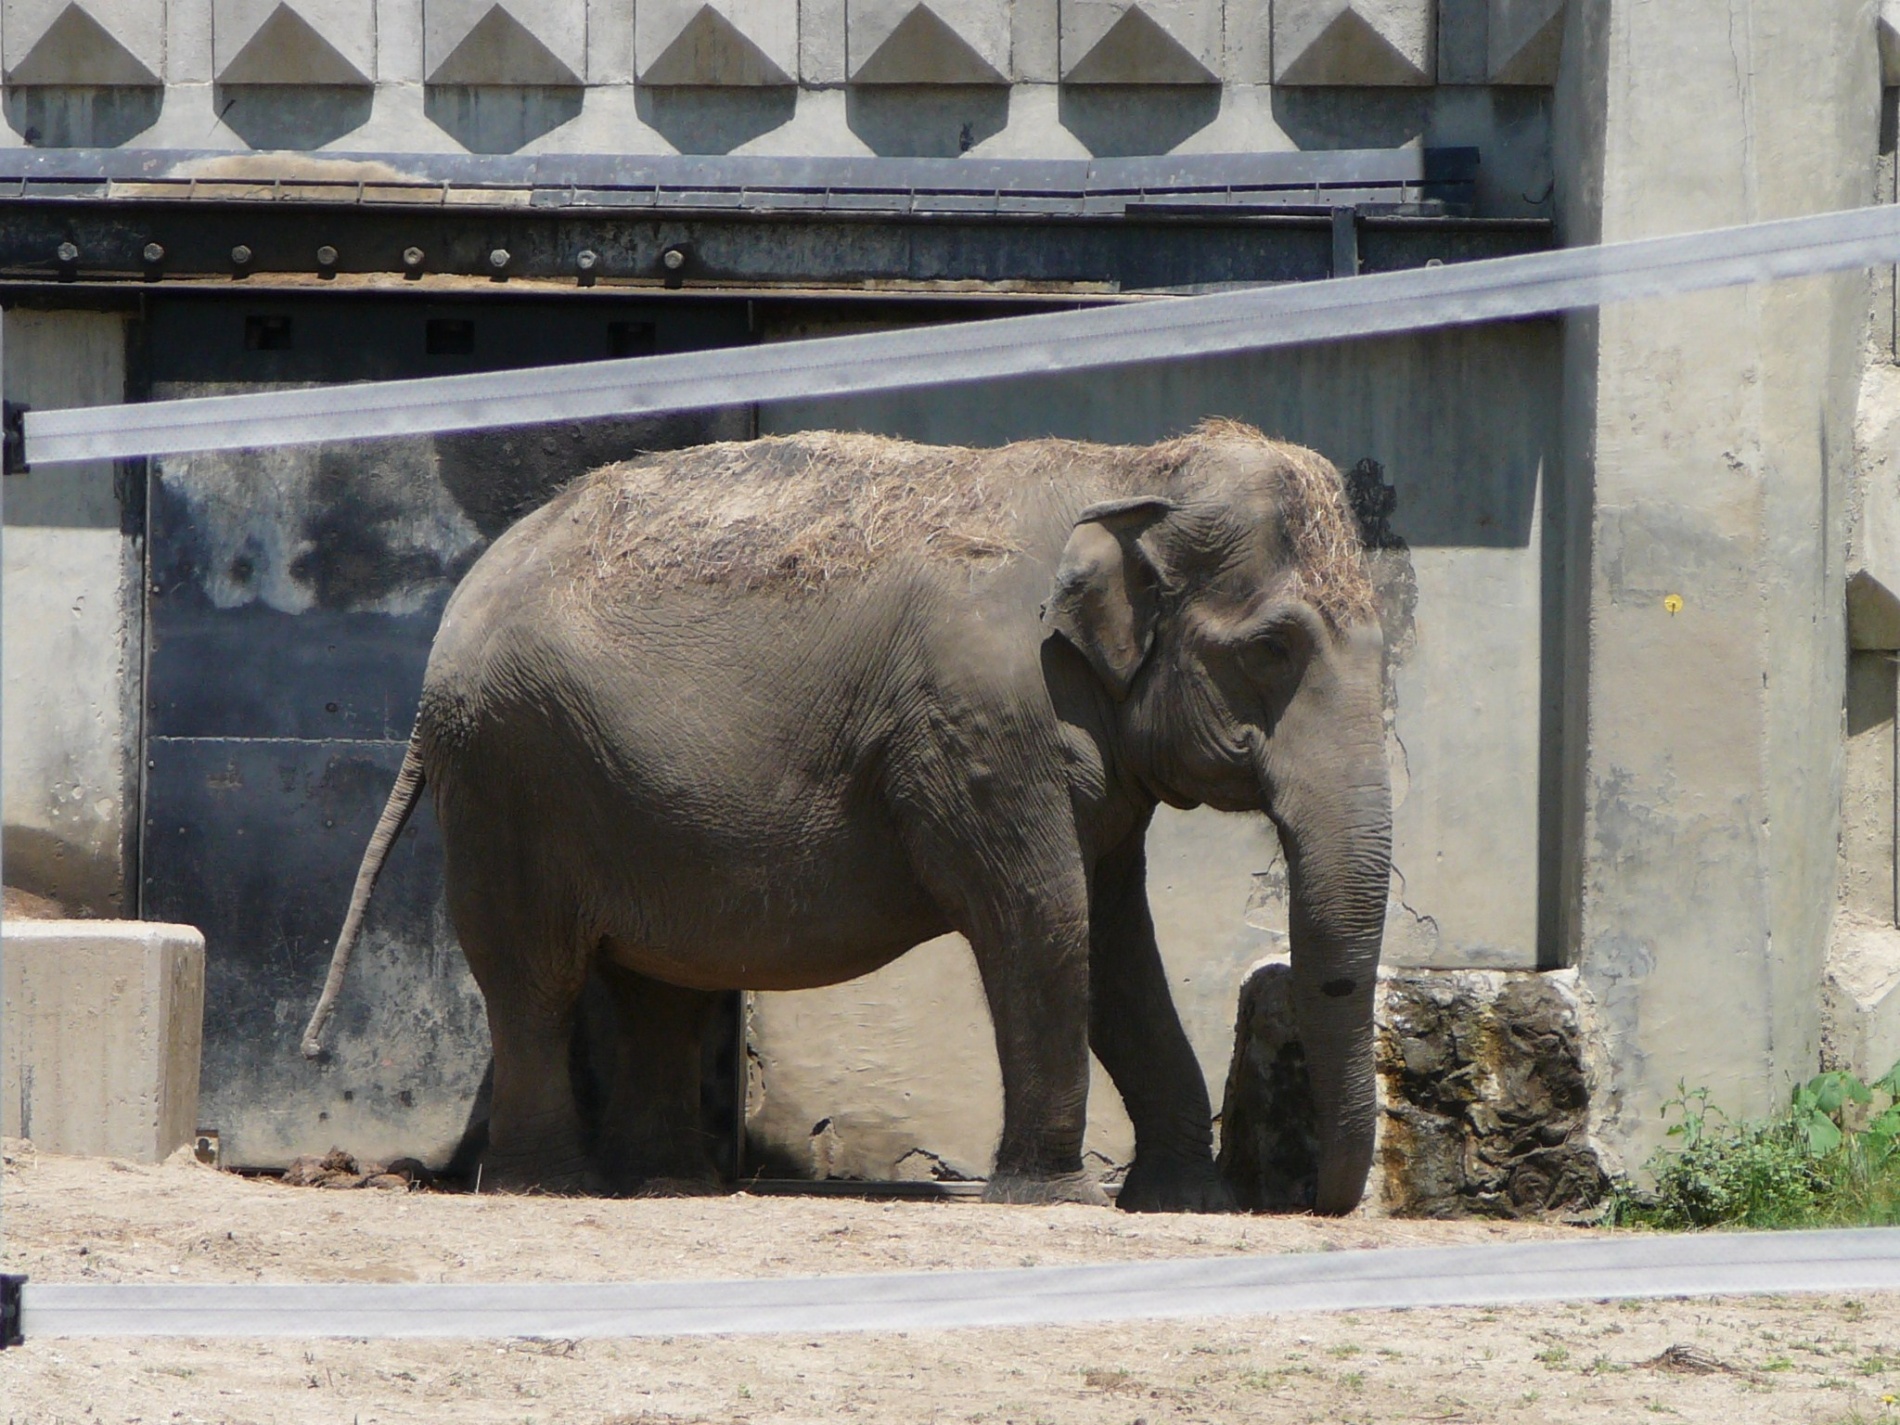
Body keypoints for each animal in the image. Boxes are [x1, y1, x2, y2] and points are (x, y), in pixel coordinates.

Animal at [300, 418, 1398, 1208]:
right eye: (1272, 650)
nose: (1317, 1203)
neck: (1130, 466)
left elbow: (1121, 943)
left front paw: (1181, 1203)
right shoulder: (980, 718)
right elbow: (1042, 920)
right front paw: (1056, 1199)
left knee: (657, 982)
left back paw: (668, 1183)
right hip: (509, 772)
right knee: (534, 975)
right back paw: (552, 1184)